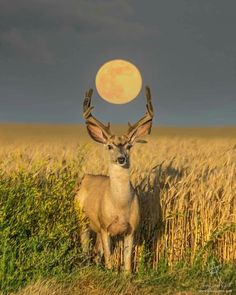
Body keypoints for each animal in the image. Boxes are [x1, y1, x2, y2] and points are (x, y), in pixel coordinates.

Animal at [74, 85, 154, 272]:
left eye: (129, 146)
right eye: (109, 146)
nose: (121, 158)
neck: (120, 206)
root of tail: (86, 177)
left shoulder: (132, 229)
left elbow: (127, 263)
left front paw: (126, 275)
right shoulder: (105, 227)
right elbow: (110, 260)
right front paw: (110, 271)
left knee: (96, 252)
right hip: (82, 220)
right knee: (86, 248)